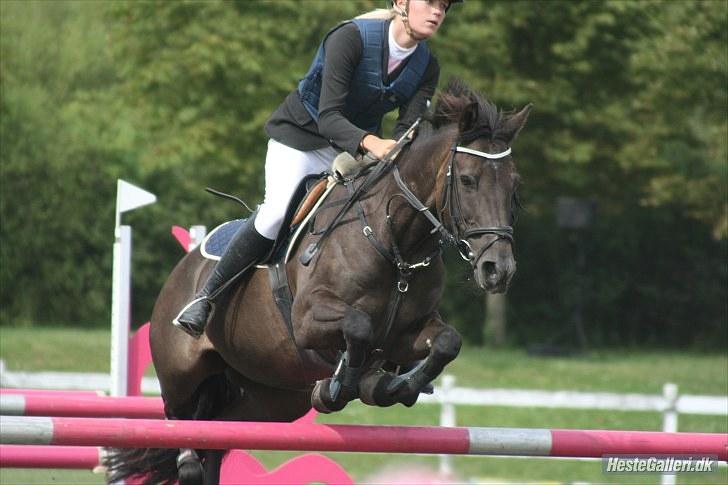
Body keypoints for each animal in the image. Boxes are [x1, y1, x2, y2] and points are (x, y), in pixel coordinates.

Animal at [106, 78, 531, 484]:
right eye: (468, 180)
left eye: (514, 186)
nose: (498, 269)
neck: (395, 243)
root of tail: (184, 267)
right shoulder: (309, 320)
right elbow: (358, 327)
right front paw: (341, 385)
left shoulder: (405, 334)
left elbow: (446, 342)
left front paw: (391, 387)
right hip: (182, 376)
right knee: (180, 423)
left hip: (272, 398)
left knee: (216, 434)